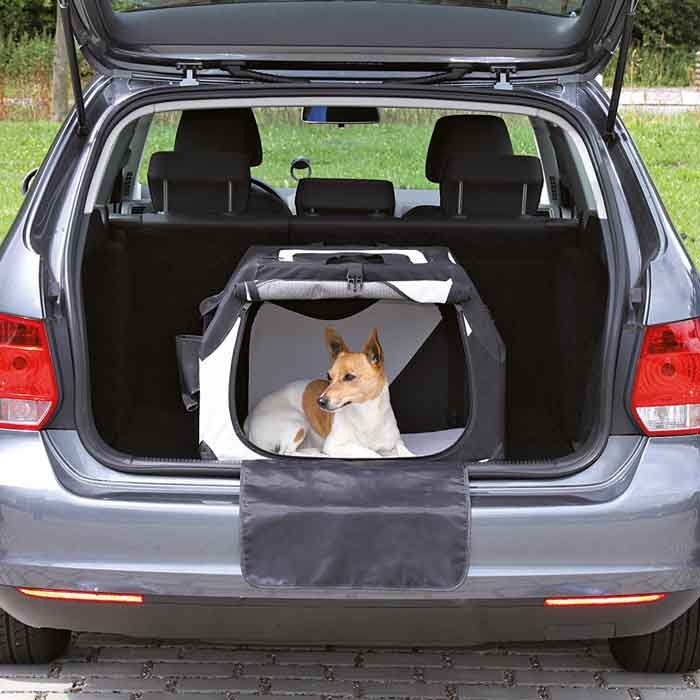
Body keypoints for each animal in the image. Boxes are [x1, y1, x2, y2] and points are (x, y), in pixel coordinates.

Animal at [244, 327, 413, 459]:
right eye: (329, 376)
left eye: (349, 377)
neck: (366, 414)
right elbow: (372, 453)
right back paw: (317, 454)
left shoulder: (396, 442)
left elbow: (406, 453)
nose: (320, 401)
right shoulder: (336, 445)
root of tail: (248, 422)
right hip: (297, 422)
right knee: (287, 452)